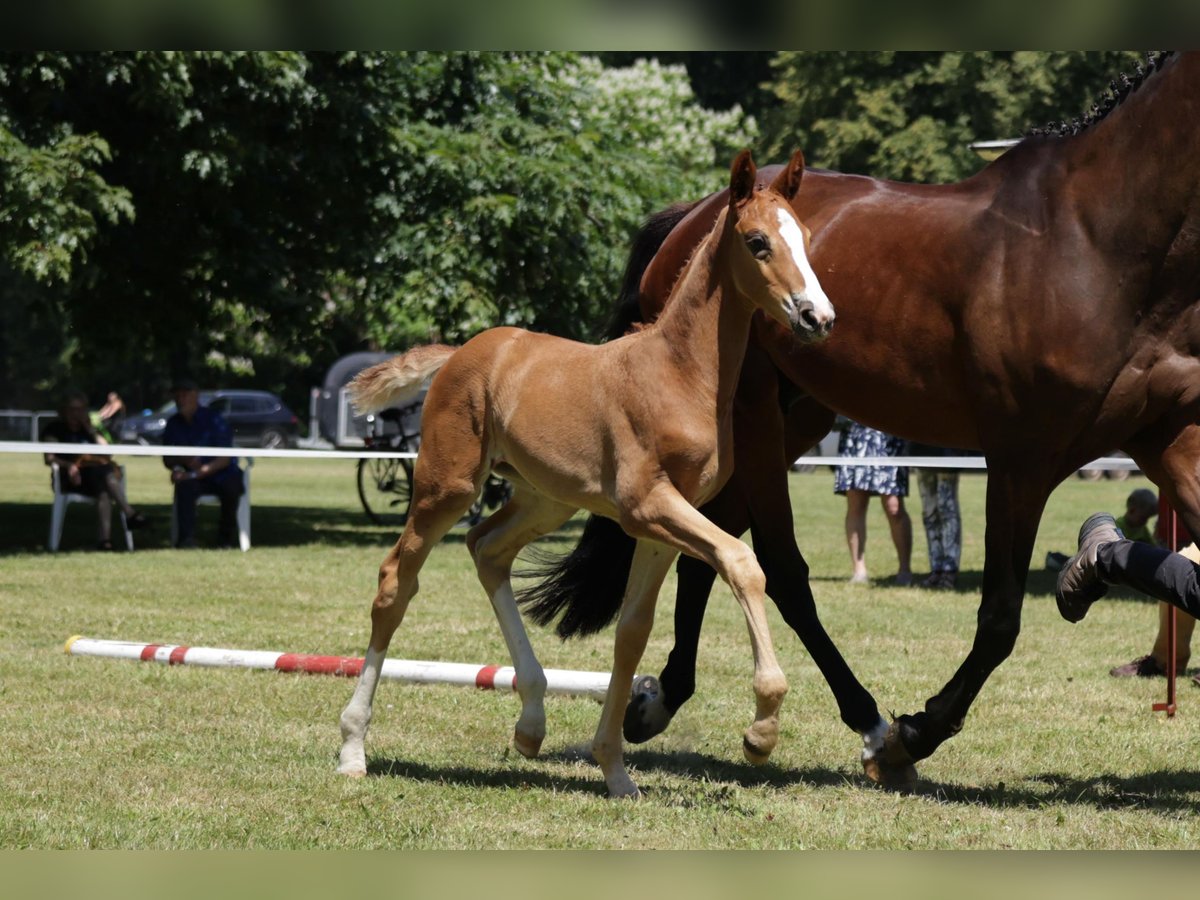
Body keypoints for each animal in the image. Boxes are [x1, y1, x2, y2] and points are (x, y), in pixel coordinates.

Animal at [331, 150, 835, 801]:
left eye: (806, 239)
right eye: (757, 242)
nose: (818, 317)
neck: (679, 374)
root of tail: (460, 353)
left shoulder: (658, 524)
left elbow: (631, 633)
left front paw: (615, 769)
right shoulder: (649, 505)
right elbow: (743, 563)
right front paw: (761, 730)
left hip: (546, 499)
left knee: (487, 548)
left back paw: (531, 723)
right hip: (448, 486)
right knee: (397, 581)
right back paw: (353, 747)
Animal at [525, 52, 1200, 792]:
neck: (1096, 241)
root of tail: (691, 217)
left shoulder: (1167, 437)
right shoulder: (1022, 459)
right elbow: (999, 618)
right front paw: (913, 735)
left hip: (791, 418)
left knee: (713, 542)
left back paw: (662, 698)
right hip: (752, 421)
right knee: (778, 568)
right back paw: (865, 721)